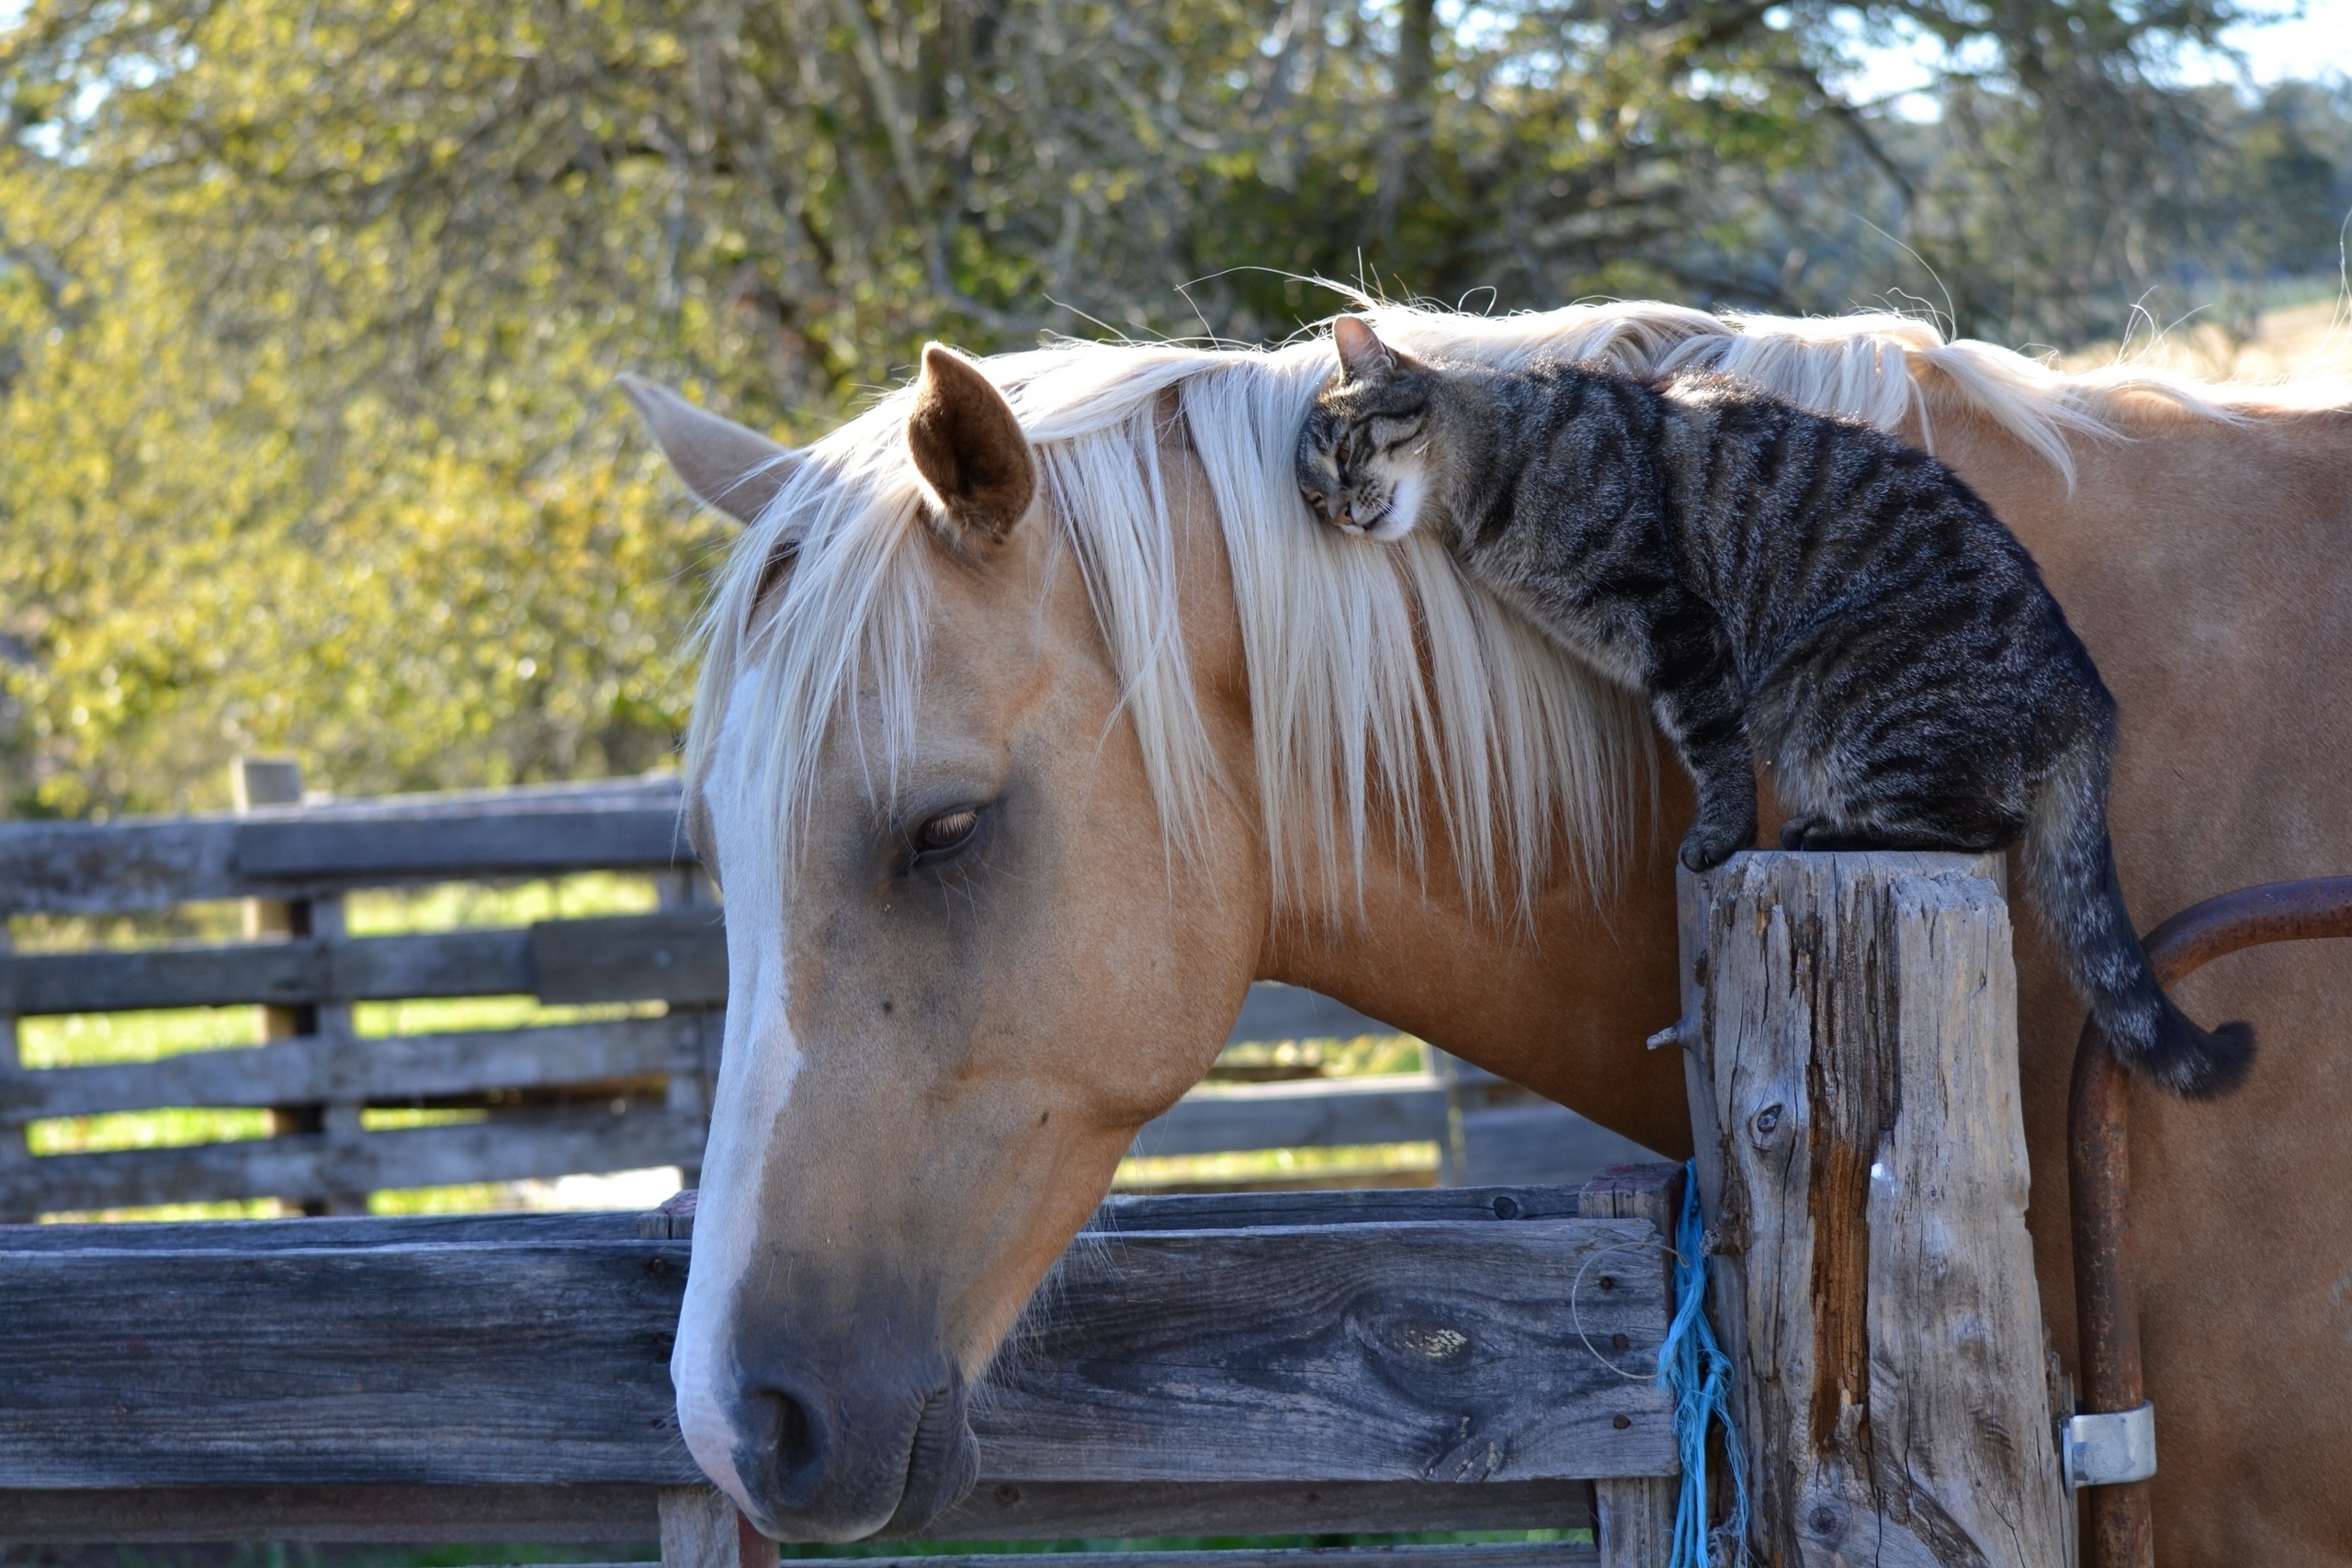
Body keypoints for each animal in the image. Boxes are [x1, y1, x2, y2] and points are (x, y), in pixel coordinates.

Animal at [1298, 312, 2248, 1104]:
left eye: (1344, 454)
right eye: (1312, 497)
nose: (1339, 512)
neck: (1495, 472)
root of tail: (2089, 700)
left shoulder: (1678, 628)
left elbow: (1712, 749)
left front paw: (1718, 836)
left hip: (1826, 692)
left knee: (1981, 824)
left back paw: (1824, 829)